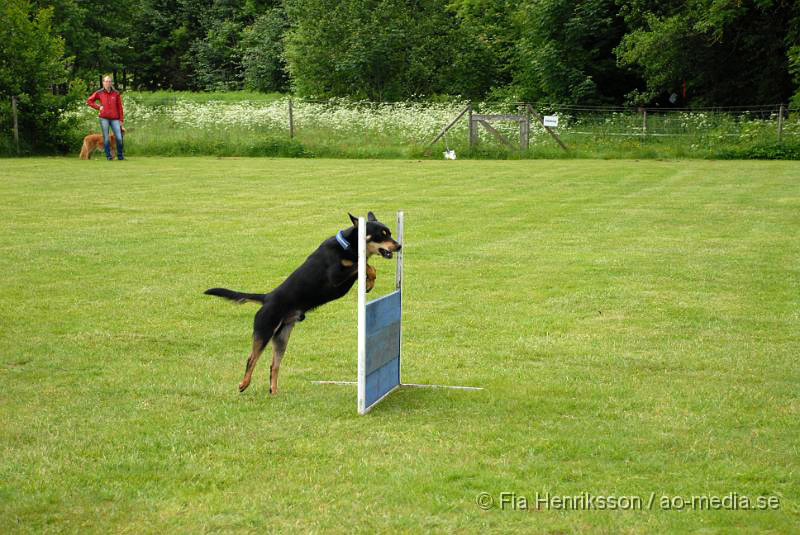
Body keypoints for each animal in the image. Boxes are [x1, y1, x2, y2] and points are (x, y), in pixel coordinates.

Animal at [205, 213, 400, 394]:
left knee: (273, 365)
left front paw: (369, 283)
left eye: (390, 233)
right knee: (251, 359)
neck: (348, 245)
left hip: (282, 337)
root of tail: (267, 297)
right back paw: (243, 384)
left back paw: (274, 392)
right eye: (381, 235)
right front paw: (369, 278)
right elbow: (362, 264)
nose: (399, 246)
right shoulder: (336, 276)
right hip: (264, 330)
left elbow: (367, 266)